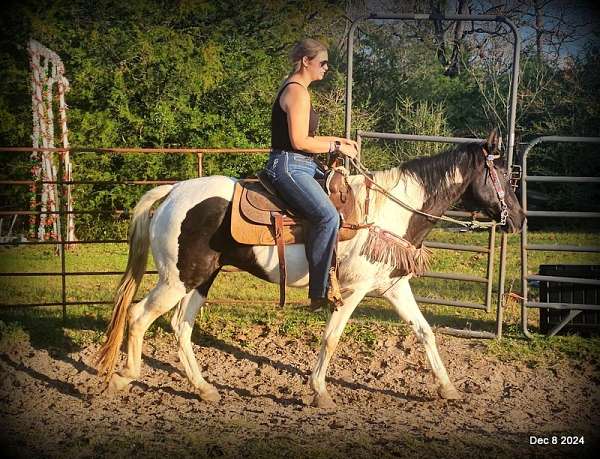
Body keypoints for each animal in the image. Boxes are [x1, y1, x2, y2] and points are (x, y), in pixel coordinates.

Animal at [95, 129, 524, 410]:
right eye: (503, 176)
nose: (519, 219)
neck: (388, 212)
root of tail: (173, 191)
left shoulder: (393, 287)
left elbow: (425, 332)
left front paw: (448, 388)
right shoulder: (351, 291)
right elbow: (331, 340)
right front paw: (319, 391)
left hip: (201, 279)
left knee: (180, 326)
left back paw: (204, 389)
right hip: (177, 279)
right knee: (138, 316)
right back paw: (124, 377)